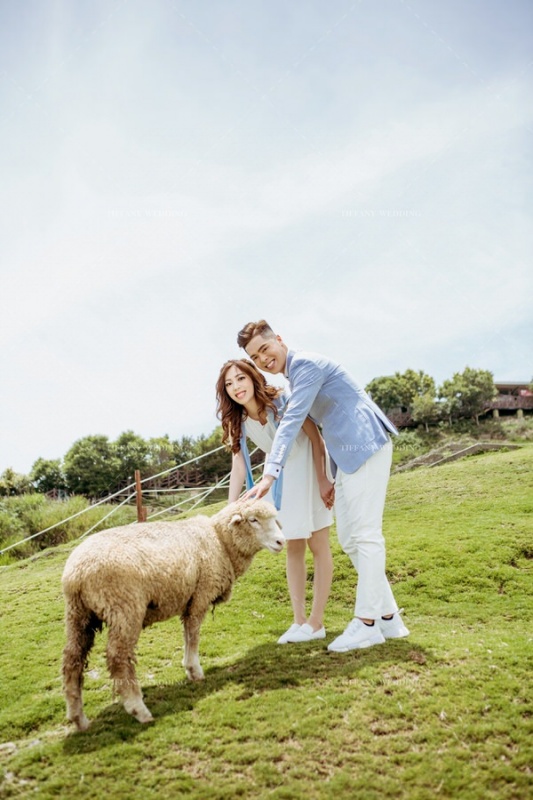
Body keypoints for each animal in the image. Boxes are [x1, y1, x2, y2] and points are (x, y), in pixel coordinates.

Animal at [61, 499, 284, 731]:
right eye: (253, 520)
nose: (281, 541)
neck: (220, 541)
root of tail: (76, 574)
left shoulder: (189, 601)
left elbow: (187, 634)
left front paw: (189, 668)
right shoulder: (201, 595)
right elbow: (193, 634)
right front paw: (195, 671)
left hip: (78, 615)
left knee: (72, 659)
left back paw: (78, 718)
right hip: (124, 609)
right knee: (118, 657)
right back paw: (138, 708)